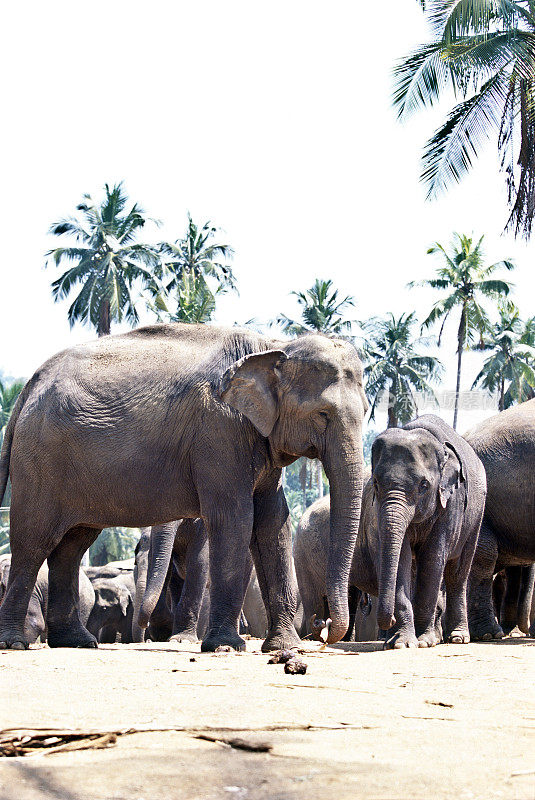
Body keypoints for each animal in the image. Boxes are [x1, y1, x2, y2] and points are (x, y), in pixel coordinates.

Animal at [368, 416, 490, 648]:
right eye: (376, 483)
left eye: (424, 485)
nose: (390, 620)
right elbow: (403, 558)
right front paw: (400, 643)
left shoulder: (451, 501)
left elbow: (433, 558)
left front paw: (424, 642)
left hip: (476, 518)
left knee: (458, 573)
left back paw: (457, 638)